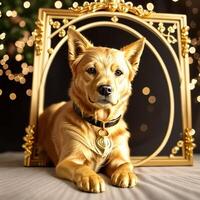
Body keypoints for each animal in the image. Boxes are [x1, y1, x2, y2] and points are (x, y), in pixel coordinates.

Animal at [38, 27, 145, 193]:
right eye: (91, 70)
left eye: (118, 72)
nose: (105, 89)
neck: (100, 122)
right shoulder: (68, 160)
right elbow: (81, 167)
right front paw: (90, 177)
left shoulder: (119, 157)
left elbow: (126, 164)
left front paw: (125, 173)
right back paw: (42, 158)